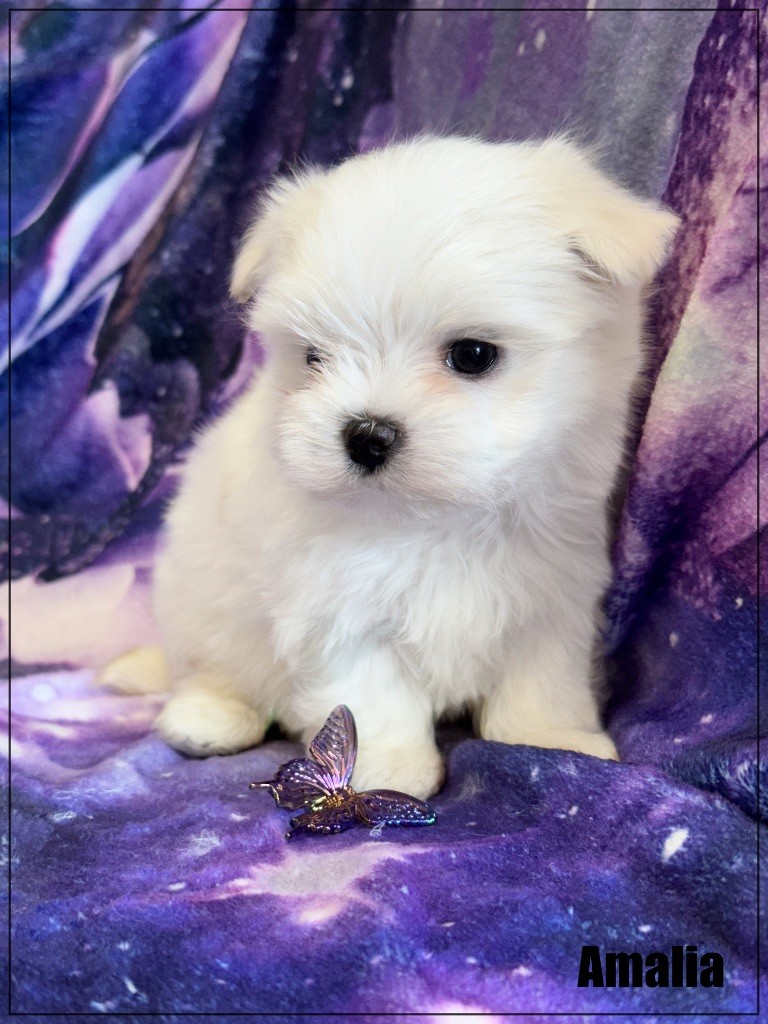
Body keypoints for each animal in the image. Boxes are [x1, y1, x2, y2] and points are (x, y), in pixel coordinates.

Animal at [100, 135, 678, 799]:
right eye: (313, 357)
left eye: (473, 355)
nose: (366, 435)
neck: (437, 517)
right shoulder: (335, 603)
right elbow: (368, 691)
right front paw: (382, 766)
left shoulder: (552, 590)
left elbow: (542, 675)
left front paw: (551, 737)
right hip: (201, 601)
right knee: (212, 667)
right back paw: (210, 716)